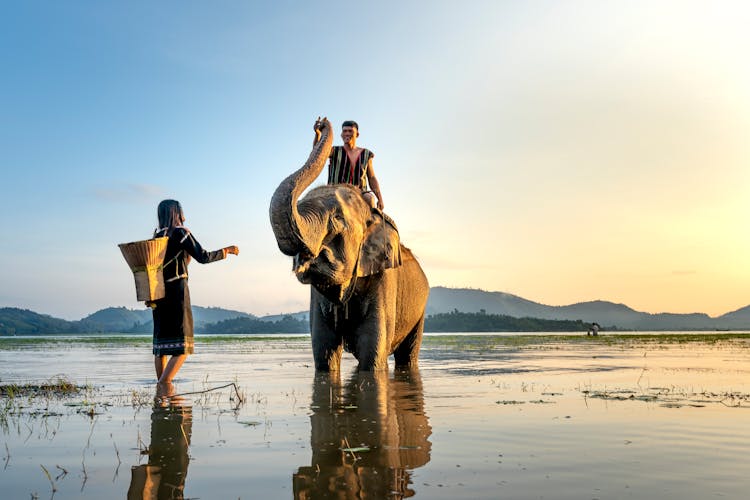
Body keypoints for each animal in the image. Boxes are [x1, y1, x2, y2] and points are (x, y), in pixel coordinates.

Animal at [274, 118, 432, 372]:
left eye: (337, 220)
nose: (321, 122)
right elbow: (324, 354)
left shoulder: (384, 279)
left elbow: (372, 354)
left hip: (420, 309)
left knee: (407, 355)